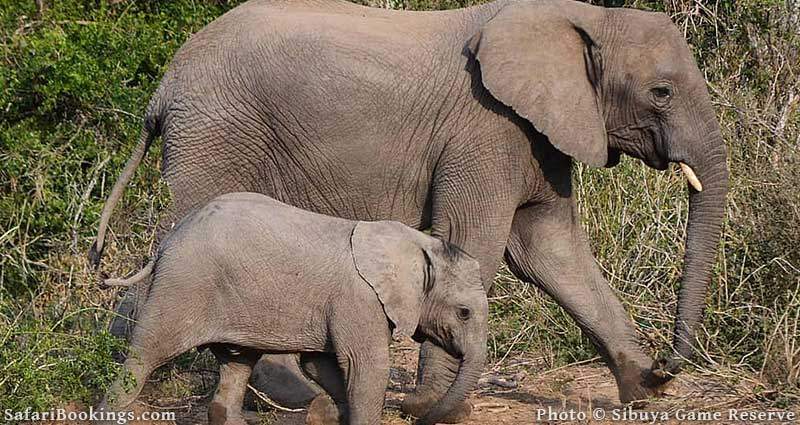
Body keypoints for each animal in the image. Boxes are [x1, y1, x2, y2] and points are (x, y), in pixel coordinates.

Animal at [100, 193, 488, 424]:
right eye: (464, 312)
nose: (418, 417)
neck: (422, 245)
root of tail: (168, 239)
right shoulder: (359, 299)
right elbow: (366, 366)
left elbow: (321, 365)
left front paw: (331, 414)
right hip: (182, 287)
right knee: (146, 354)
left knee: (236, 363)